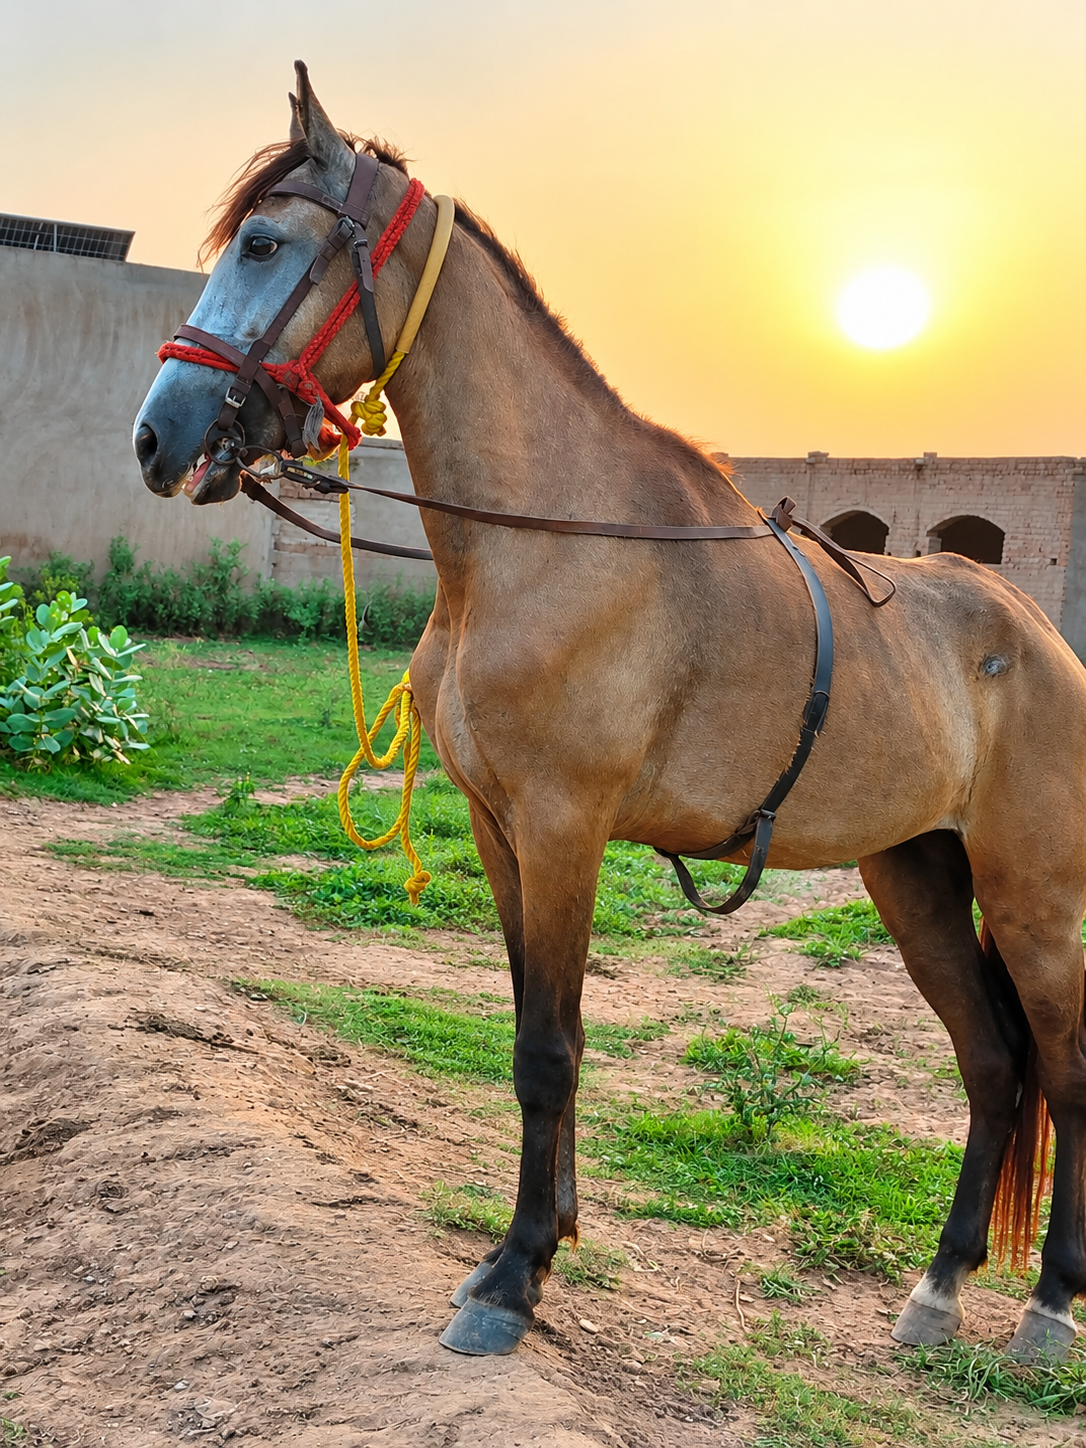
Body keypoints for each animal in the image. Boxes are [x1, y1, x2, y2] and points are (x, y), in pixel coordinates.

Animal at [134, 62, 1086, 1361]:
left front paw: (513, 1274)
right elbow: (546, 1035)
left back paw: (1050, 1306)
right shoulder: (500, 831)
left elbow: (548, 1047)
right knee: (994, 1062)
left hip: (1035, 901)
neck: (542, 546)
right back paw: (938, 1288)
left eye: (267, 243)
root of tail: (1039, 634)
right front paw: (548, 1234)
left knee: (1067, 1073)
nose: (159, 434)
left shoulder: (563, 826)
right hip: (917, 876)